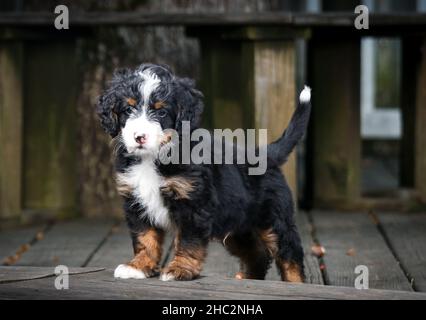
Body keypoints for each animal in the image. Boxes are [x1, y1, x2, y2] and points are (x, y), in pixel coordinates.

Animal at [96, 62, 312, 282]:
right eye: (128, 109)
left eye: (161, 112)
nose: (139, 137)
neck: (154, 157)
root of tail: (266, 154)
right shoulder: (137, 202)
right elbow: (145, 237)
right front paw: (138, 266)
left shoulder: (193, 203)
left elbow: (188, 241)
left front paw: (179, 269)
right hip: (237, 225)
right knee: (256, 253)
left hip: (274, 218)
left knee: (290, 253)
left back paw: (296, 283)